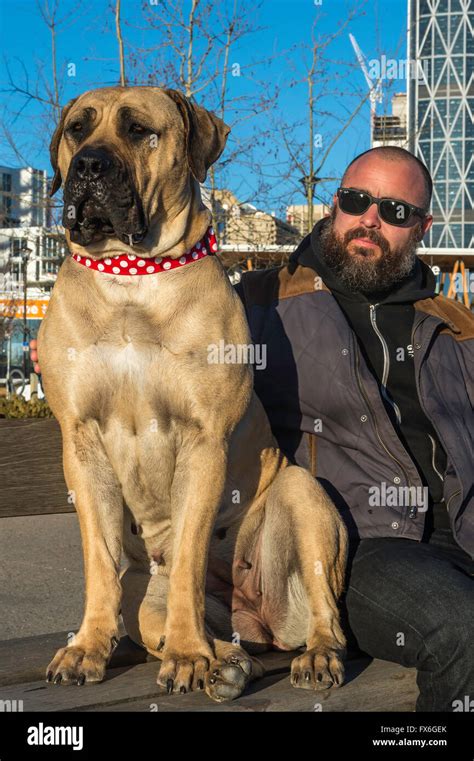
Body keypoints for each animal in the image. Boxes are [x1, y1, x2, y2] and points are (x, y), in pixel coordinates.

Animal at [38, 84, 348, 700]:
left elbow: (186, 555)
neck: (131, 279)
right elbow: (99, 559)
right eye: (78, 129)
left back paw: (309, 656)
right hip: (150, 599)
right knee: (171, 617)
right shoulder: (80, 442)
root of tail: (256, 617)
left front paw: (187, 656)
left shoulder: (204, 439)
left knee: (327, 615)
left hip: (303, 496)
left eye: (139, 131)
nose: (88, 165)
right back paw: (228, 658)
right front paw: (88, 647)